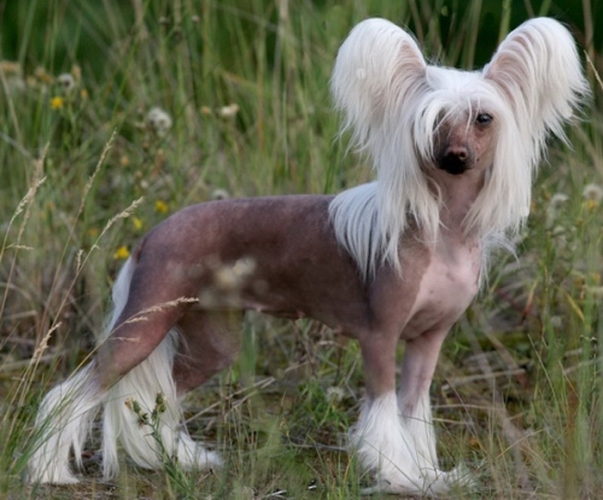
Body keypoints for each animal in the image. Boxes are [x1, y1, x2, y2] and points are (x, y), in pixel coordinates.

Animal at [29, 16, 588, 496]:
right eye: (431, 123)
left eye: (483, 118)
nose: (455, 158)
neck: (442, 232)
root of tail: (154, 232)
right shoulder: (379, 336)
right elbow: (384, 415)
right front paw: (400, 477)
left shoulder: (429, 341)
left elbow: (413, 413)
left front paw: (430, 475)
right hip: (146, 321)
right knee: (74, 393)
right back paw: (50, 470)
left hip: (212, 339)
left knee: (163, 396)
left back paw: (184, 461)